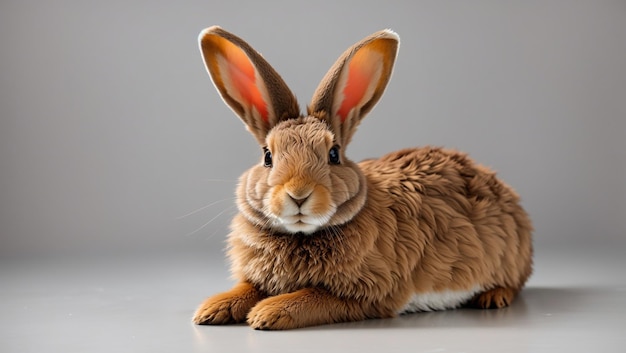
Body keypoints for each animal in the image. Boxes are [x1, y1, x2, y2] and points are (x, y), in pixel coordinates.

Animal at [191, 26, 532, 328]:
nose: (299, 195)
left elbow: (311, 299)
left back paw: (493, 297)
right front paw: (212, 309)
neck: (302, 234)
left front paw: (268, 313)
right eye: (267, 156)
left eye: (333, 154)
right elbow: (246, 289)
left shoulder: (368, 294)